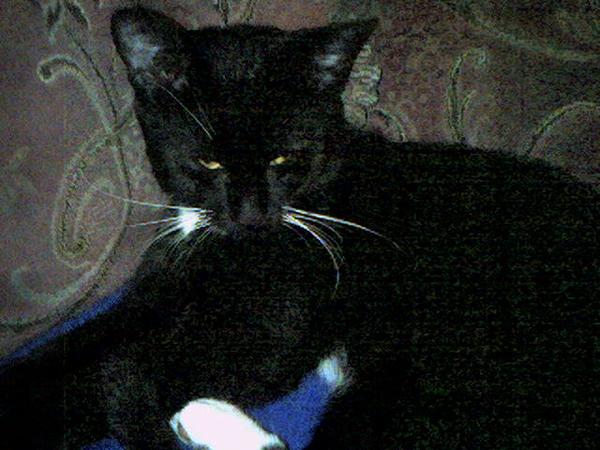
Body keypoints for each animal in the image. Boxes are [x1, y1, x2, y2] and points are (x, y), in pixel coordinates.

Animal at [1, 6, 598, 449]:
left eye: (284, 158)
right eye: (208, 162)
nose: (250, 213)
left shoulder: (274, 322)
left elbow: (126, 370)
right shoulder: (161, 291)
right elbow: (91, 342)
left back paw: (205, 416)